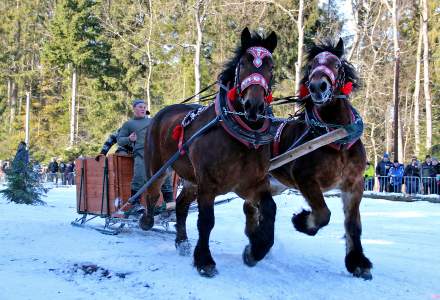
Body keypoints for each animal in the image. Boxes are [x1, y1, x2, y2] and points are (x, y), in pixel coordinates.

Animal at [141, 28, 278, 276]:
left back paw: (182, 241)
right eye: (243, 63)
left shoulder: (251, 184)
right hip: (159, 168)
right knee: (152, 194)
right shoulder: (208, 183)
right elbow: (206, 220)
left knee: (181, 205)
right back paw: (147, 220)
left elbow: (269, 209)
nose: (254, 106)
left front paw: (255, 250)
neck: (241, 136)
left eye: (270, 66)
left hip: (191, 180)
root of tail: (161, 113)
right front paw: (204, 260)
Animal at [270, 38, 372, 280]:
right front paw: (301, 221)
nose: (317, 86)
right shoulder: (305, 178)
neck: (338, 140)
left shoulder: (354, 184)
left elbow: (353, 225)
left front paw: (357, 262)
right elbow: (324, 214)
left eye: (336, 64)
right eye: (313, 64)